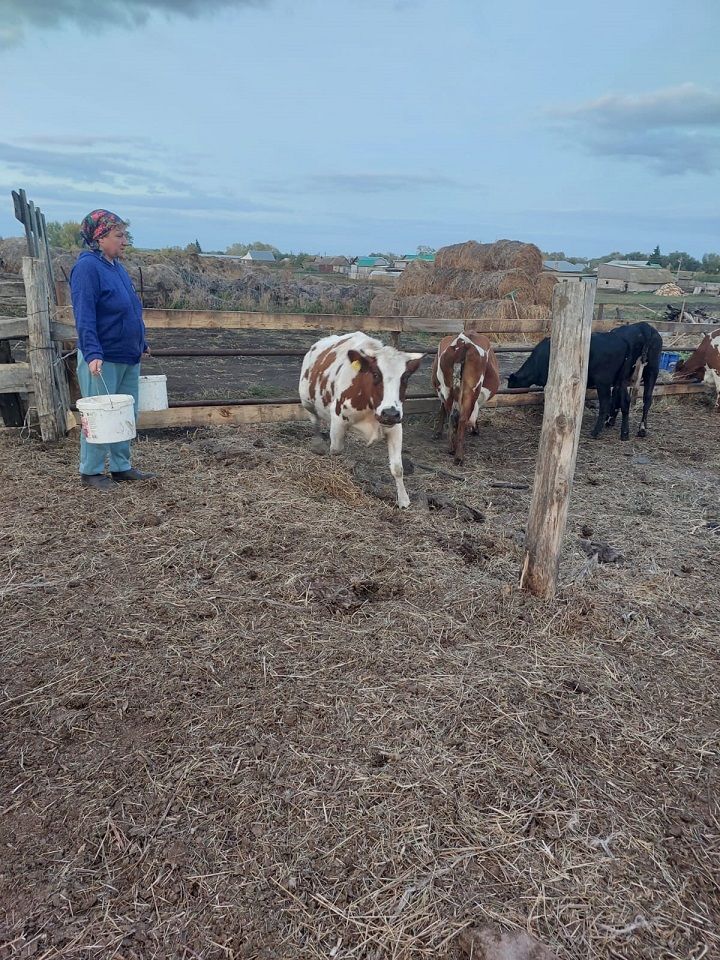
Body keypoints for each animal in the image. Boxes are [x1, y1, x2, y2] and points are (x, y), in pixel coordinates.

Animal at [296, 332, 422, 506]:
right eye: (375, 374)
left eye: (405, 377)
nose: (390, 413)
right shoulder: (338, 421)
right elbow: (336, 451)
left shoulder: (396, 426)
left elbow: (397, 467)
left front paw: (403, 499)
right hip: (307, 402)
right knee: (315, 421)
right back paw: (318, 443)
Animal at [430, 330, 498, 464]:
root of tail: (462, 342)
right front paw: (475, 429)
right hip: (471, 390)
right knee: (461, 418)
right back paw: (459, 456)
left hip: (447, 389)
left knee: (452, 415)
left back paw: (452, 448)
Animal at [506, 324, 664, 440]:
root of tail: (646, 328)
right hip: (634, 377)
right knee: (634, 400)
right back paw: (627, 433)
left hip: (604, 382)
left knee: (606, 403)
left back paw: (596, 431)